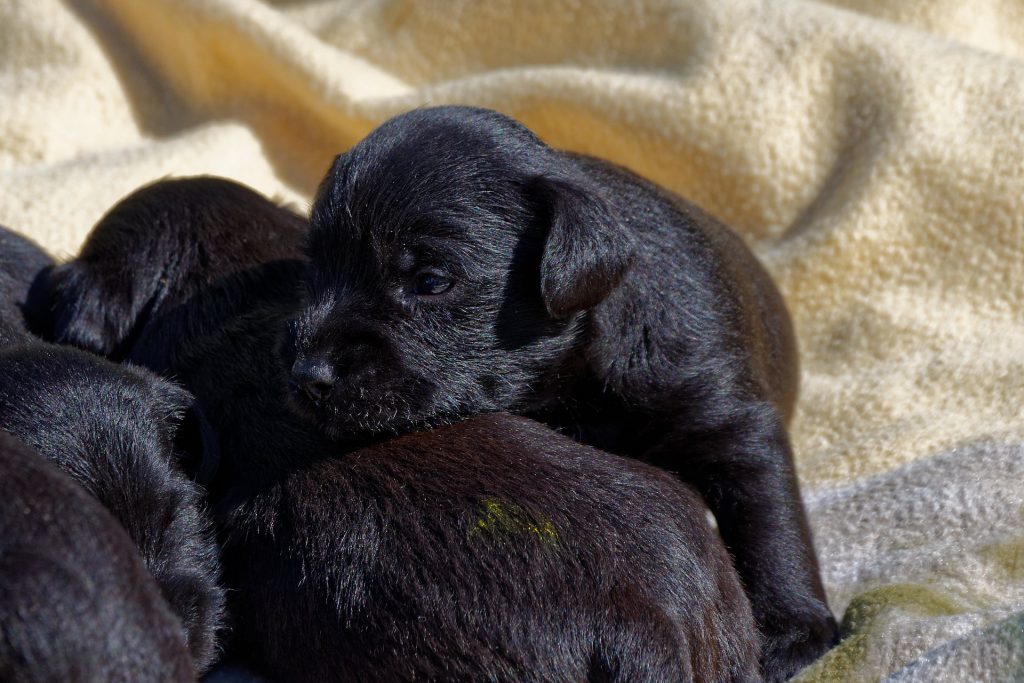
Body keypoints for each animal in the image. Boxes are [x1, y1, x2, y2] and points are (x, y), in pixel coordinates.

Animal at [288, 107, 839, 679]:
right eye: (313, 271)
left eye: (432, 280)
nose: (308, 373)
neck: (586, 373)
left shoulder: (731, 422)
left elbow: (770, 525)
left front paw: (794, 629)